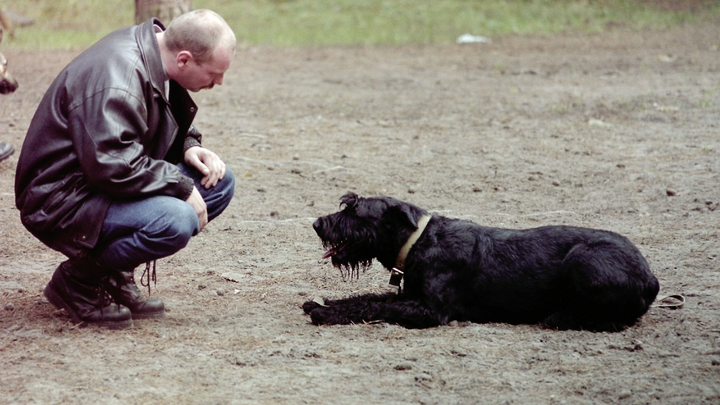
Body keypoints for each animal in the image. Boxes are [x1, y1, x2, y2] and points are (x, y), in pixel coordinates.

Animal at [300, 191, 660, 330]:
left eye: (354, 211)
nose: (317, 223)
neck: (419, 241)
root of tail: (650, 278)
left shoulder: (429, 310)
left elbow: (375, 306)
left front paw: (325, 313)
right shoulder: (409, 296)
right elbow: (367, 298)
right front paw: (323, 303)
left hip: (581, 259)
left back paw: (562, 315)